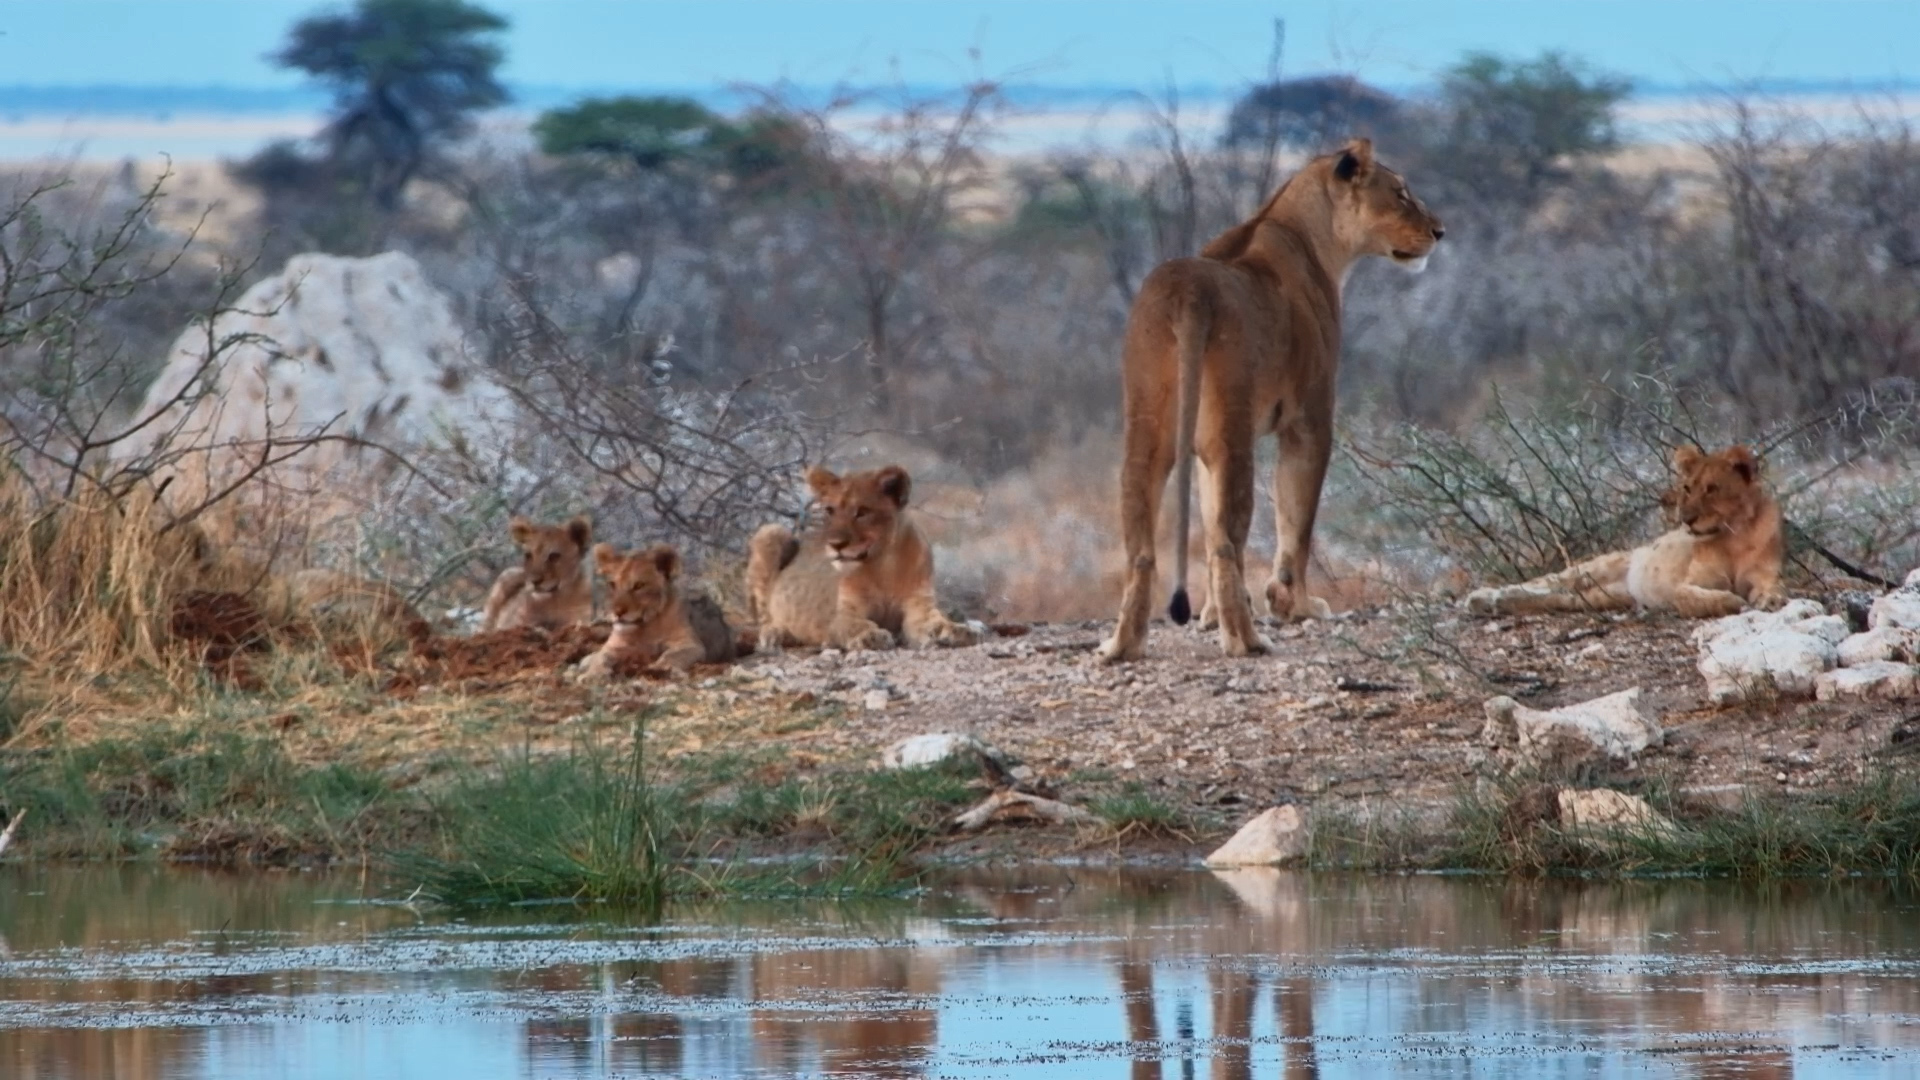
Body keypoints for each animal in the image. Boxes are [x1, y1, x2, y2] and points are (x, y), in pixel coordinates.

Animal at [580, 542, 736, 677]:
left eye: (639, 585)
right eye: (612, 584)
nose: (617, 612)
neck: (645, 626)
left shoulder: (691, 644)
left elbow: (672, 655)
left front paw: (658, 668)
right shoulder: (614, 646)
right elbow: (602, 657)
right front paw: (592, 674)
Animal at [747, 464, 980, 652]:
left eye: (862, 512)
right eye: (829, 510)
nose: (835, 544)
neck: (884, 565)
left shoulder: (919, 605)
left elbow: (936, 622)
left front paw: (958, 630)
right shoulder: (843, 614)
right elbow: (856, 625)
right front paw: (871, 636)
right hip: (770, 531)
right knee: (764, 618)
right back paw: (776, 634)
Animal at [1101, 137, 1444, 663]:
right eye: (1401, 193)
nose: (1439, 231)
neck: (1309, 236)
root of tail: (1187, 292)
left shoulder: (1205, 449)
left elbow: (1212, 521)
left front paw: (1210, 616)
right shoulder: (1309, 420)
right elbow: (1295, 520)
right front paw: (1294, 605)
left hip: (1148, 428)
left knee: (1145, 545)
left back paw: (1123, 645)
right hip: (1232, 428)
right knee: (1228, 540)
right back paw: (1246, 641)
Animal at [1464, 445, 1788, 618]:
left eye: (1712, 489)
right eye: (1687, 488)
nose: (1686, 519)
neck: (1734, 536)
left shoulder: (1764, 574)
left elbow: (1774, 587)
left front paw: (1771, 600)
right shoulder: (1685, 586)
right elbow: (1703, 598)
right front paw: (1734, 602)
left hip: (1595, 598)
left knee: (1553, 597)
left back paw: (1496, 604)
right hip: (1593, 568)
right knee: (1543, 582)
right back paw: (1480, 597)